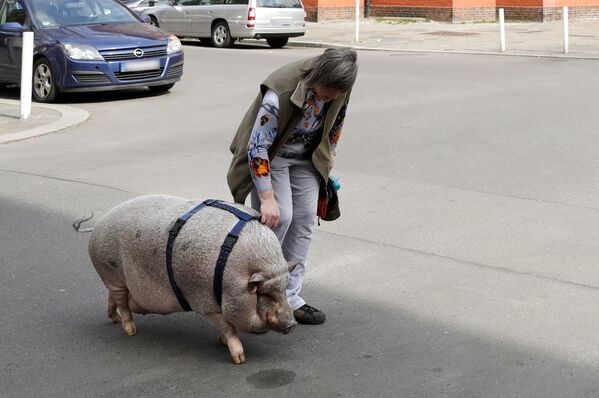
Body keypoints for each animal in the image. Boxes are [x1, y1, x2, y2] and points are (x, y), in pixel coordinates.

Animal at [87, 194, 298, 366]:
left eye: (284, 288)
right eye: (266, 294)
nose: (293, 324)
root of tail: (95, 230)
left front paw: (222, 343)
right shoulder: (205, 303)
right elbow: (227, 328)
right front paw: (239, 359)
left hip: (114, 280)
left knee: (113, 299)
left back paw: (114, 319)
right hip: (112, 273)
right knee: (122, 304)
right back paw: (130, 330)